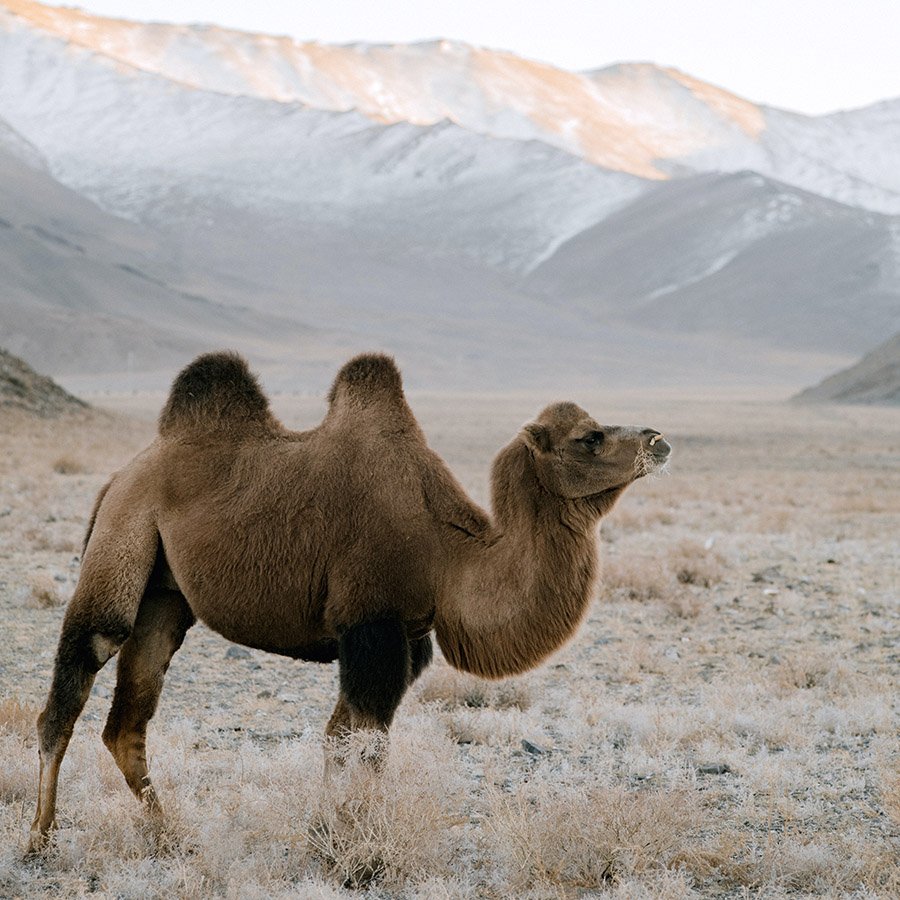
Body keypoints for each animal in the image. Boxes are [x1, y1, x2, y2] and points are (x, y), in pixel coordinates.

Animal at [24, 350, 672, 852]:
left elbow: (343, 738)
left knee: (127, 721)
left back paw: (171, 834)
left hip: (166, 593)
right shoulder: (371, 623)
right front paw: (358, 840)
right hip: (123, 535)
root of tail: (120, 475)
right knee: (80, 669)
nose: (658, 439)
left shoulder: (405, 638)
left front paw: (328, 832)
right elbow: (365, 743)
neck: (446, 553)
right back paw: (40, 837)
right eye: (589, 437)